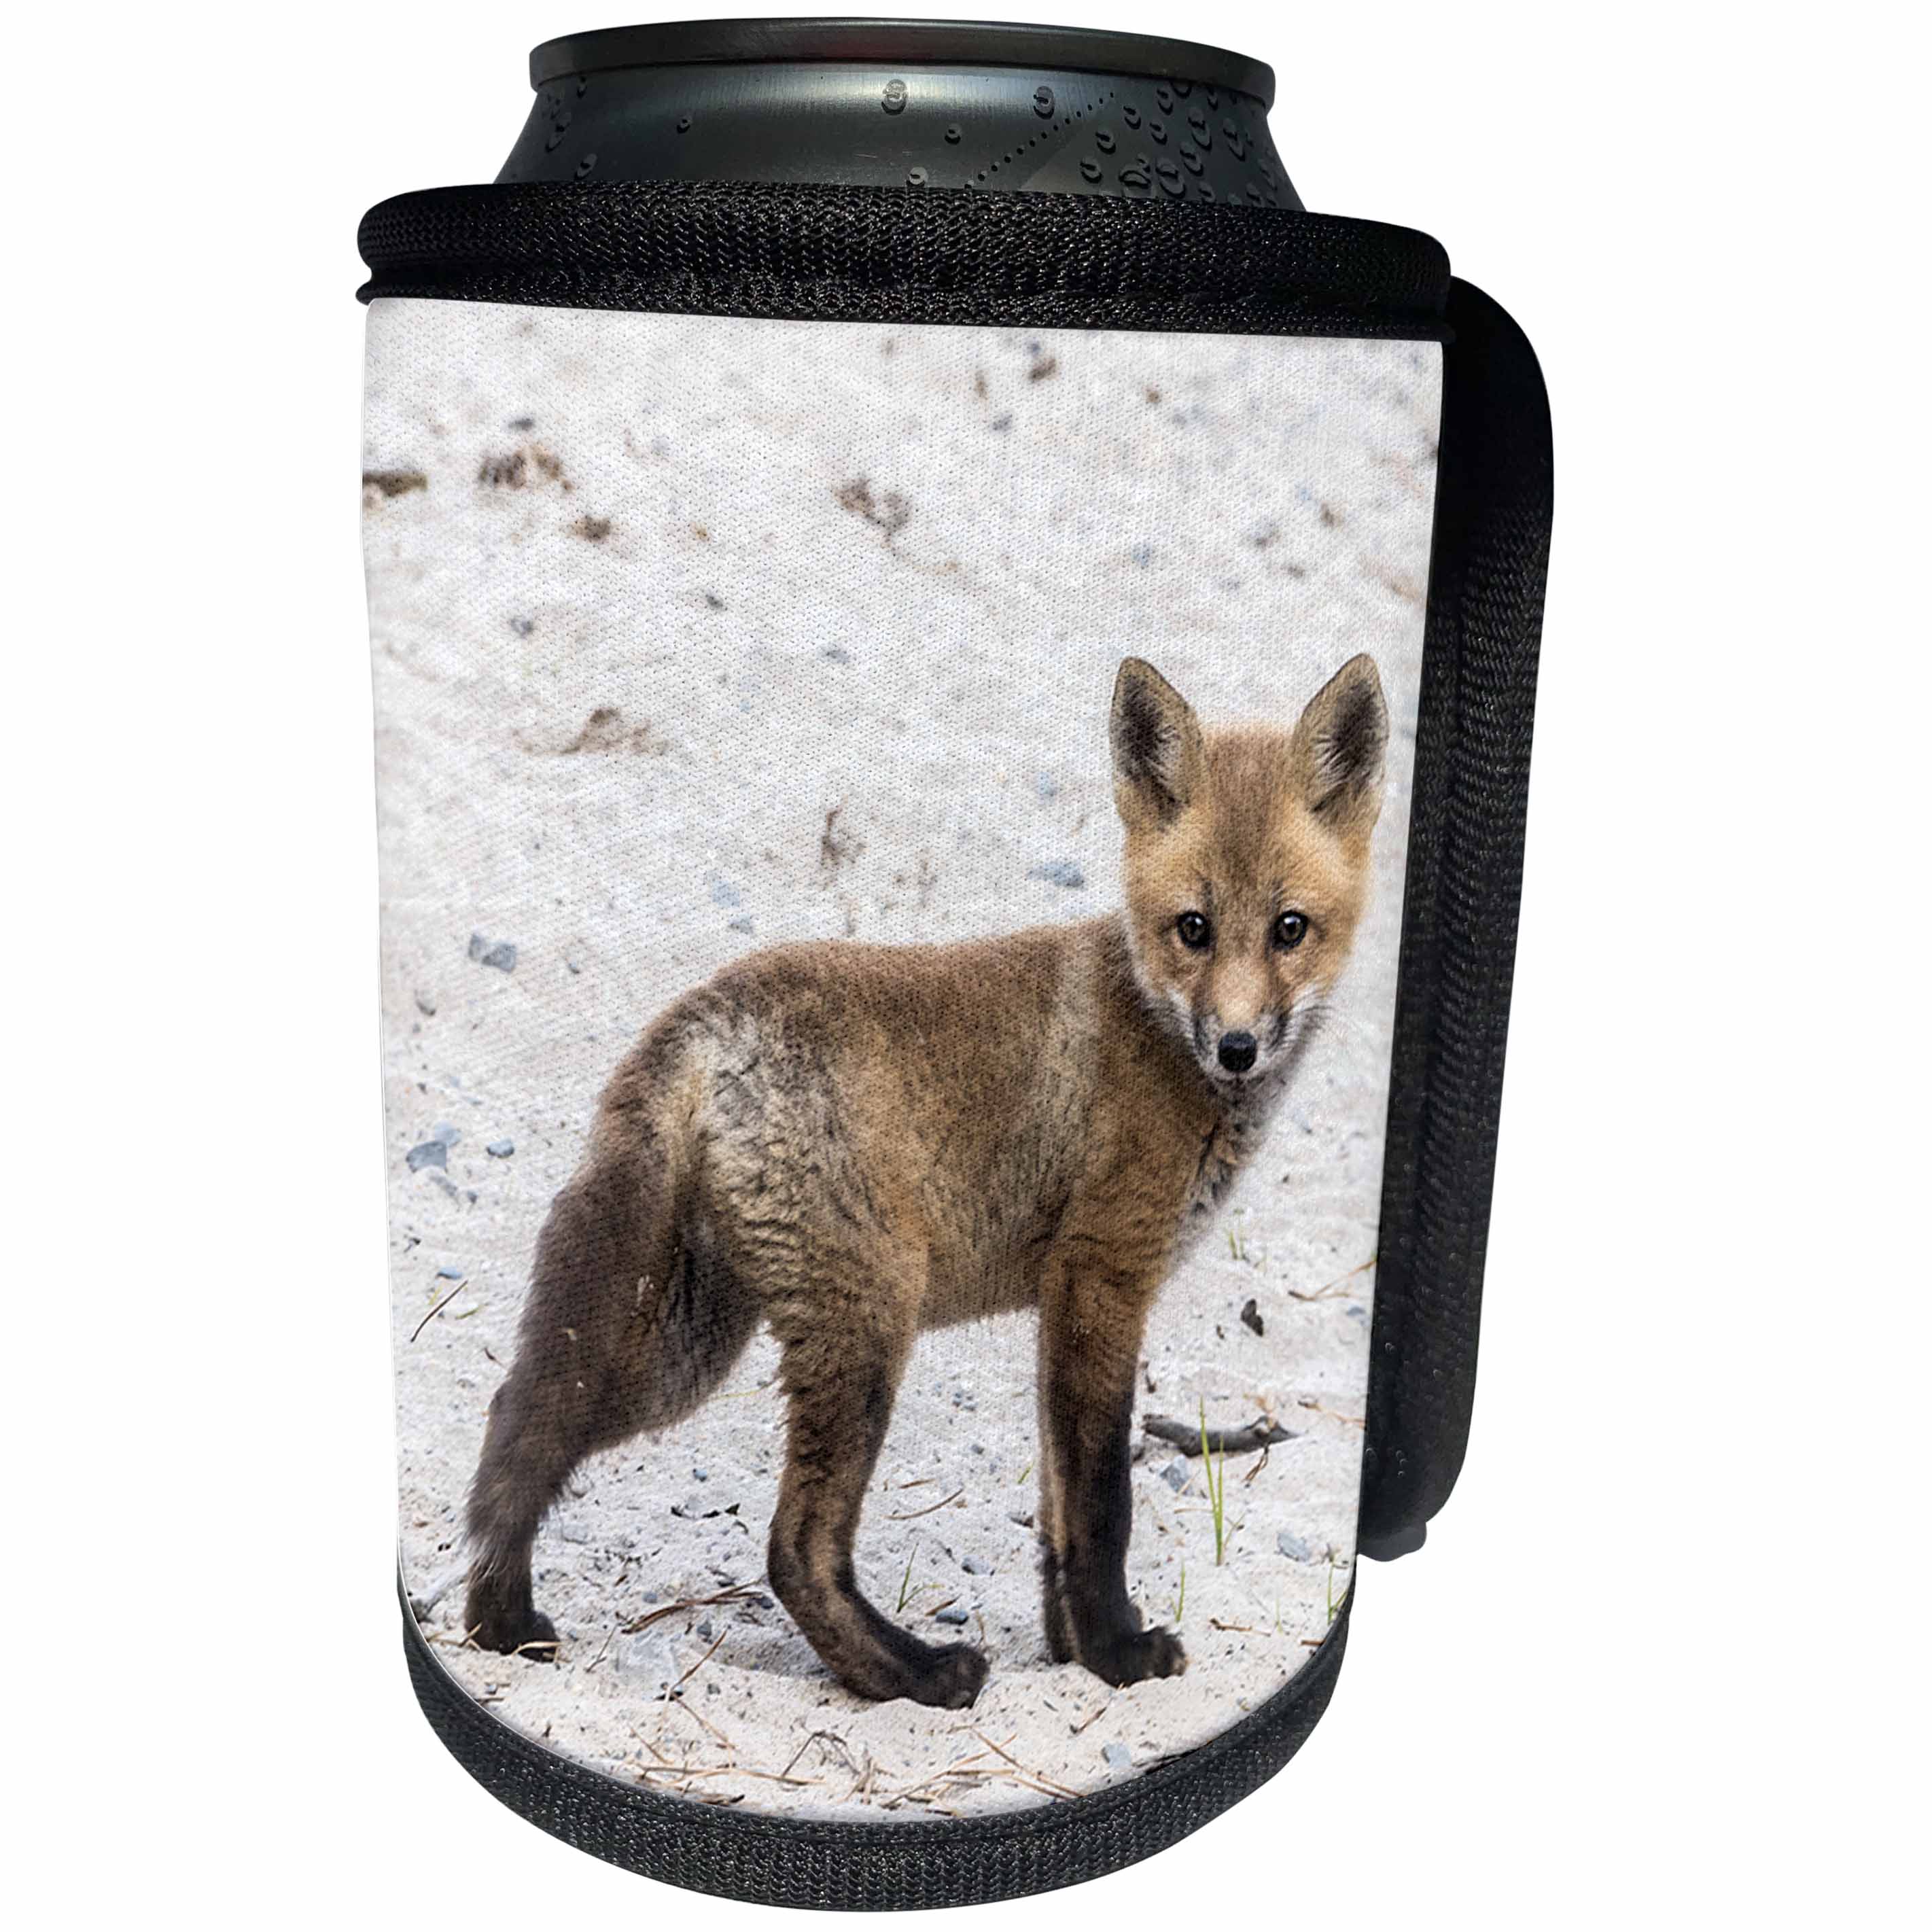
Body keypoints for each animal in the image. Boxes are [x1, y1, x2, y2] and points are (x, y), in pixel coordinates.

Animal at [463, 652, 1389, 1708]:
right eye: (1191, 927)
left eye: (1289, 928)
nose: (1235, 1047)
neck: (1153, 1027)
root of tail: (706, 1018)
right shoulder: (1101, 1274)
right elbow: (1101, 1501)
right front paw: (1118, 1654)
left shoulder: (1059, 1304)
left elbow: (1057, 1511)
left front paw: (1070, 1650)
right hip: (866, 1319)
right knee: (792, 1549)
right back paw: (915, 1672)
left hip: (679, 1350)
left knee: (519, 1428)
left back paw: (499, 1623)